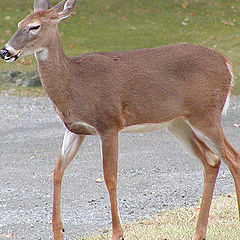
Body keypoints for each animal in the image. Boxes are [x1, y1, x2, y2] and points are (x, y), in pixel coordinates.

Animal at [0, 0, 240, 239]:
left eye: (34, 27)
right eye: (19, 23)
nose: (5, 51)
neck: (75, 83)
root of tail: (227, 65)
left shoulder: (109, 124)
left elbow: (110, 177)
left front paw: (118, 233)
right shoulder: (75, 129)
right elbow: (57, 171)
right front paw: (58, 230)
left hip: (206, 113)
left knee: (233, 158)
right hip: (178, 122)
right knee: (212, 160)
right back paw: (198, 232)